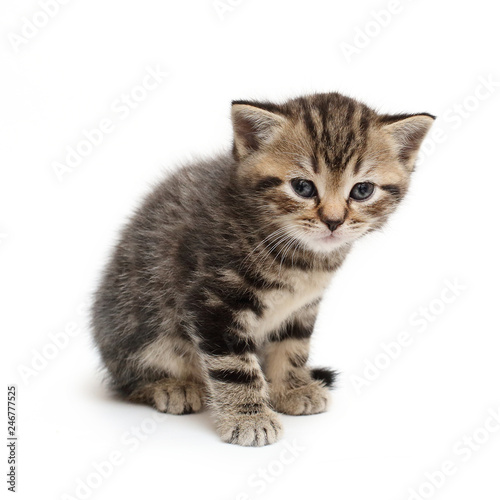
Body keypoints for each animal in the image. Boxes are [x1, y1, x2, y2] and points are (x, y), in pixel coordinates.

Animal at [92, 92, 436, 448]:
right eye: (302, 187)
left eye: (362, 190)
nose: (333, 221)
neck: (299, 257)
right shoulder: (213, 302)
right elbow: (234, 367)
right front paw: (249, 418)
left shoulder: (302, 307)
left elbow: (293, 346)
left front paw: (292, 388)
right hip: (135, 324)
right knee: (128, 379)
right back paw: (172, 386)